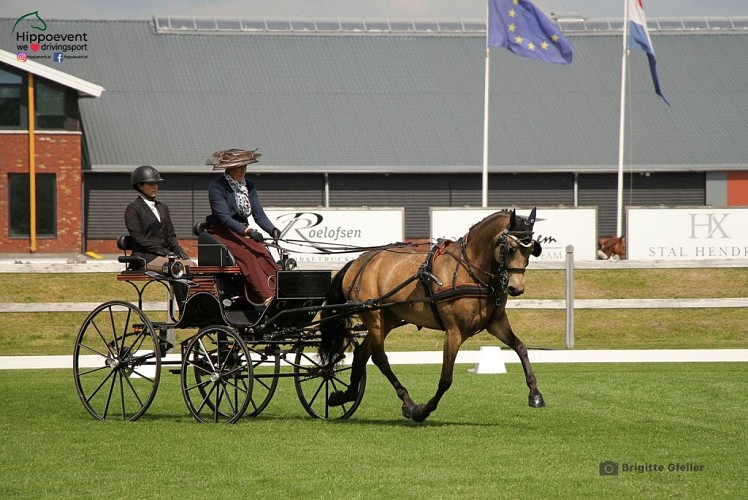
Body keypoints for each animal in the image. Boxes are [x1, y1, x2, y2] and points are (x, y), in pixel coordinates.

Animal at [318, 208, 548, 422]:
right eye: (510, 248)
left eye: (532, 250)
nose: (516, 288)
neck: (471, 271)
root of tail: (359, 261)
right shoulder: (454, 331)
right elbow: (446, 379)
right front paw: (423, 410)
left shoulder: (496, 323)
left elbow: (521, 348)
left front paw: (535, 394)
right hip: (373, 315)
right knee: (379, 358)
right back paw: (408, 403)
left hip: (388, 317)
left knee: (362, 353)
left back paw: (347, 395)